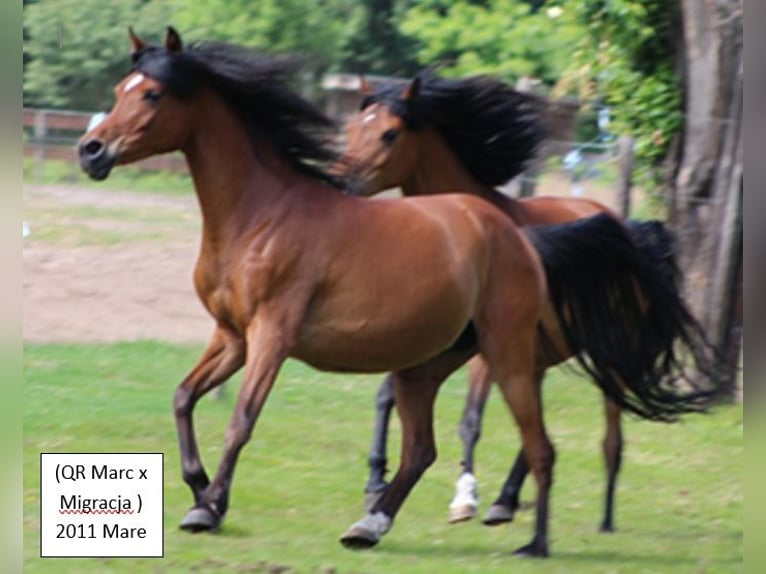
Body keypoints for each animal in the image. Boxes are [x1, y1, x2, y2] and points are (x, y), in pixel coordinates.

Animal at [335, 71, 726, 531]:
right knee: (534, 429)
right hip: (539, 353)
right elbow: (387, 397)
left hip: (604, 353)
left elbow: (470, 421)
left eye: (390, 133)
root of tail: (626, 229)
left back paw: (602, 516)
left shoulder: (483, 355)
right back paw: (507, 500)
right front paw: (375, 482)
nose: (343, 180)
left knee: (609, 433)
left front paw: (464, 497)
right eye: (352, 127)